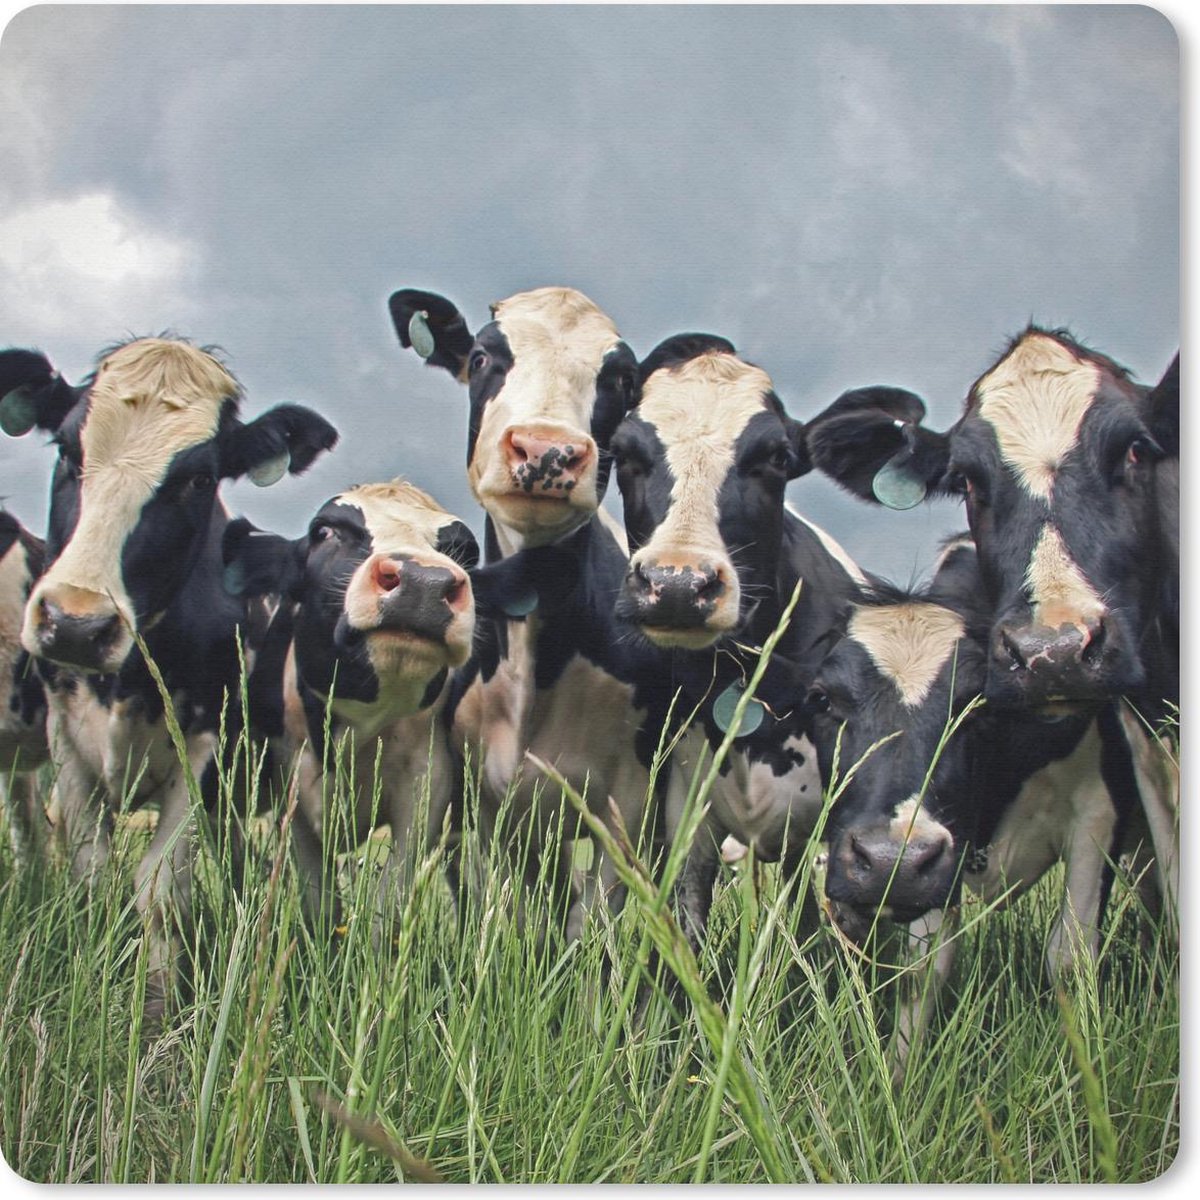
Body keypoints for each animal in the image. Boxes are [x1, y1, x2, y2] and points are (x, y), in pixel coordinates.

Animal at [0, 337, 338, 1017]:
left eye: (198, 478)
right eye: (68, 450)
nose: (75, 624)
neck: (127, 677)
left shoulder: (202, 754)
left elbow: (159, 891)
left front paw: (157, 1011)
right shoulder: (68, 747)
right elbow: (89, 876)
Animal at [222, 478, 573, 932]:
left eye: (463, 551)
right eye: (324, 532)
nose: (423, 581)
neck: (358, 725)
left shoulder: (427, 784)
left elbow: (388, 901)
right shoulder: (292, 792)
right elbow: (319, 904)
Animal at [387, 286, 671, 937]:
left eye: (621, 379)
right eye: (482, 358)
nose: (548, 450)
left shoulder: (629, 799)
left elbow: (591, 929)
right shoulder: (486, 802)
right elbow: (513, 916)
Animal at [608, 334, 867, 946]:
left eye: (776, 456)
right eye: (624, 454)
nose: (678, 585)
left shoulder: (826, 836)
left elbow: (811, 941)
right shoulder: (685, 819)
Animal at [805, 535, 1142, 1081]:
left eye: (978, 705)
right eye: (821, 699)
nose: (889, 861)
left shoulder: (1099, 809)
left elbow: (1070, 958)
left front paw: (1083, 1079)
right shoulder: (937, 863)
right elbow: (923, 968)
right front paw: (899, 1081)